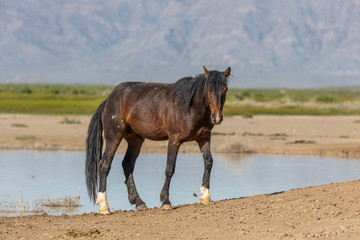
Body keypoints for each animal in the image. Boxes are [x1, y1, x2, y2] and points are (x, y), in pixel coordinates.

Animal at [85, 65, 231, 214]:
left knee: (127, 164)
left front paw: (205, 196)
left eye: (225, 89)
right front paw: (166, 201)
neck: (190, 108)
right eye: (208, 90)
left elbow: (208, 162)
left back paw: (139, 202)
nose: (216, 117)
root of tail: (107, 101)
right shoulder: (174, 140)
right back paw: (104, 206)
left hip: (135, 140)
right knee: (104, 165)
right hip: (114, 137)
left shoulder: (204, 138)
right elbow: (170, 168)